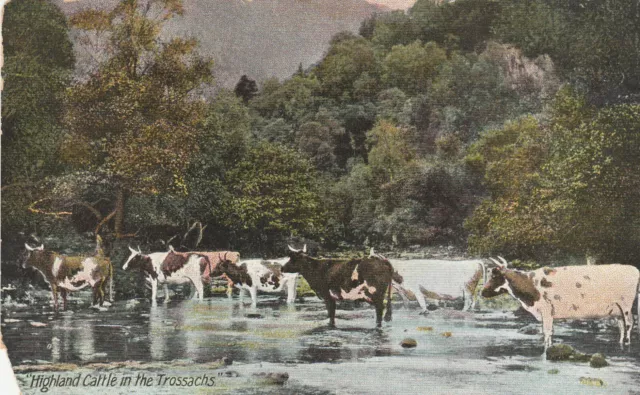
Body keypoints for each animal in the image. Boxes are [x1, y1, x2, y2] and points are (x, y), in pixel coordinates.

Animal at [480, 260, 640, 350]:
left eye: (494, 276)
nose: (482, 292)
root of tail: (633, 269)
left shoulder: (546, 310)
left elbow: (546, 332)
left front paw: (546, 347)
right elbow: (550, 332)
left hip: (626, 305)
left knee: (629, 324)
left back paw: (627, 343)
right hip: (617, 310)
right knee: (621, 326)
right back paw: (620, 342)